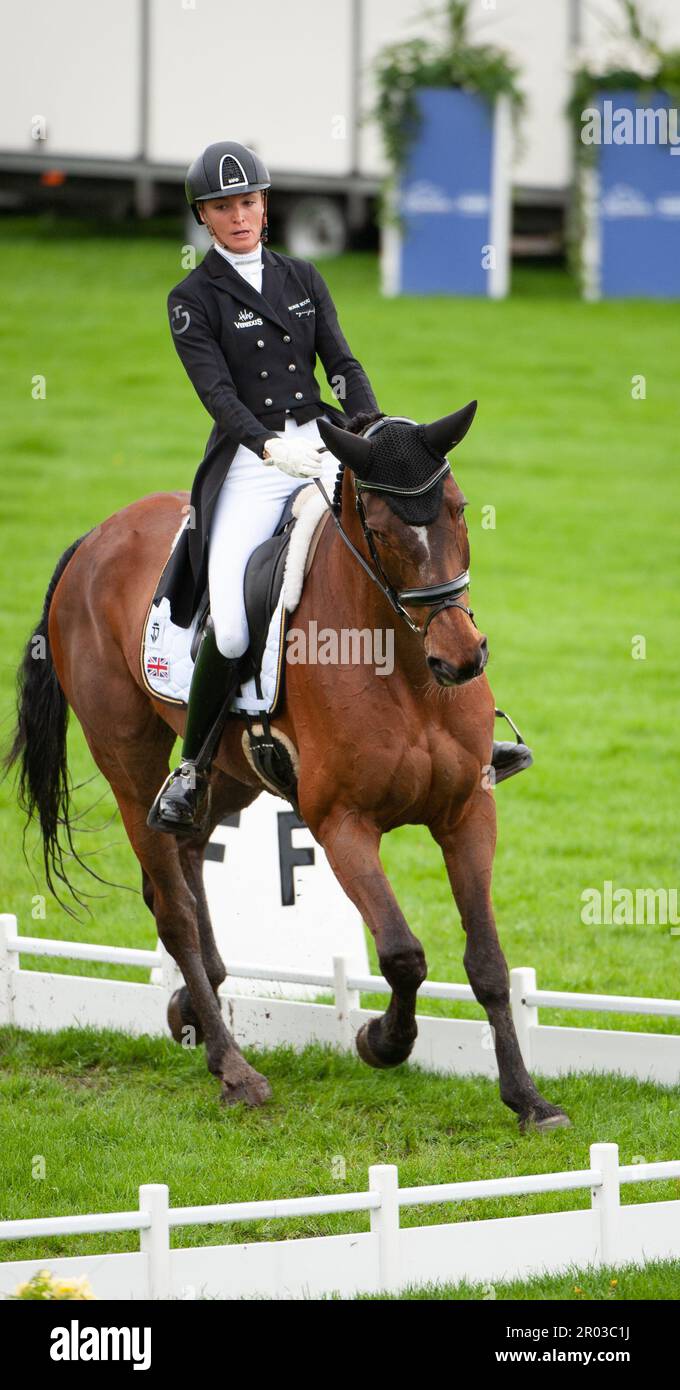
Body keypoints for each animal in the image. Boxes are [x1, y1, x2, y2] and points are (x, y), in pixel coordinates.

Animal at [5, 400, 567, 1128]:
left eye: (460, 509)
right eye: (379, 530)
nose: (461, 658)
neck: (407, 671)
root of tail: (95, 538)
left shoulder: (468, 812)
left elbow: (490, 964)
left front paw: (529, 1099)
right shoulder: (341, 824)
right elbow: (402, 954)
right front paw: (380, 1040)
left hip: (228, 772)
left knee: (185, 858)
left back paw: (195, 1008)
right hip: (129, 765)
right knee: (173, 908)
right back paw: (234, 1069)